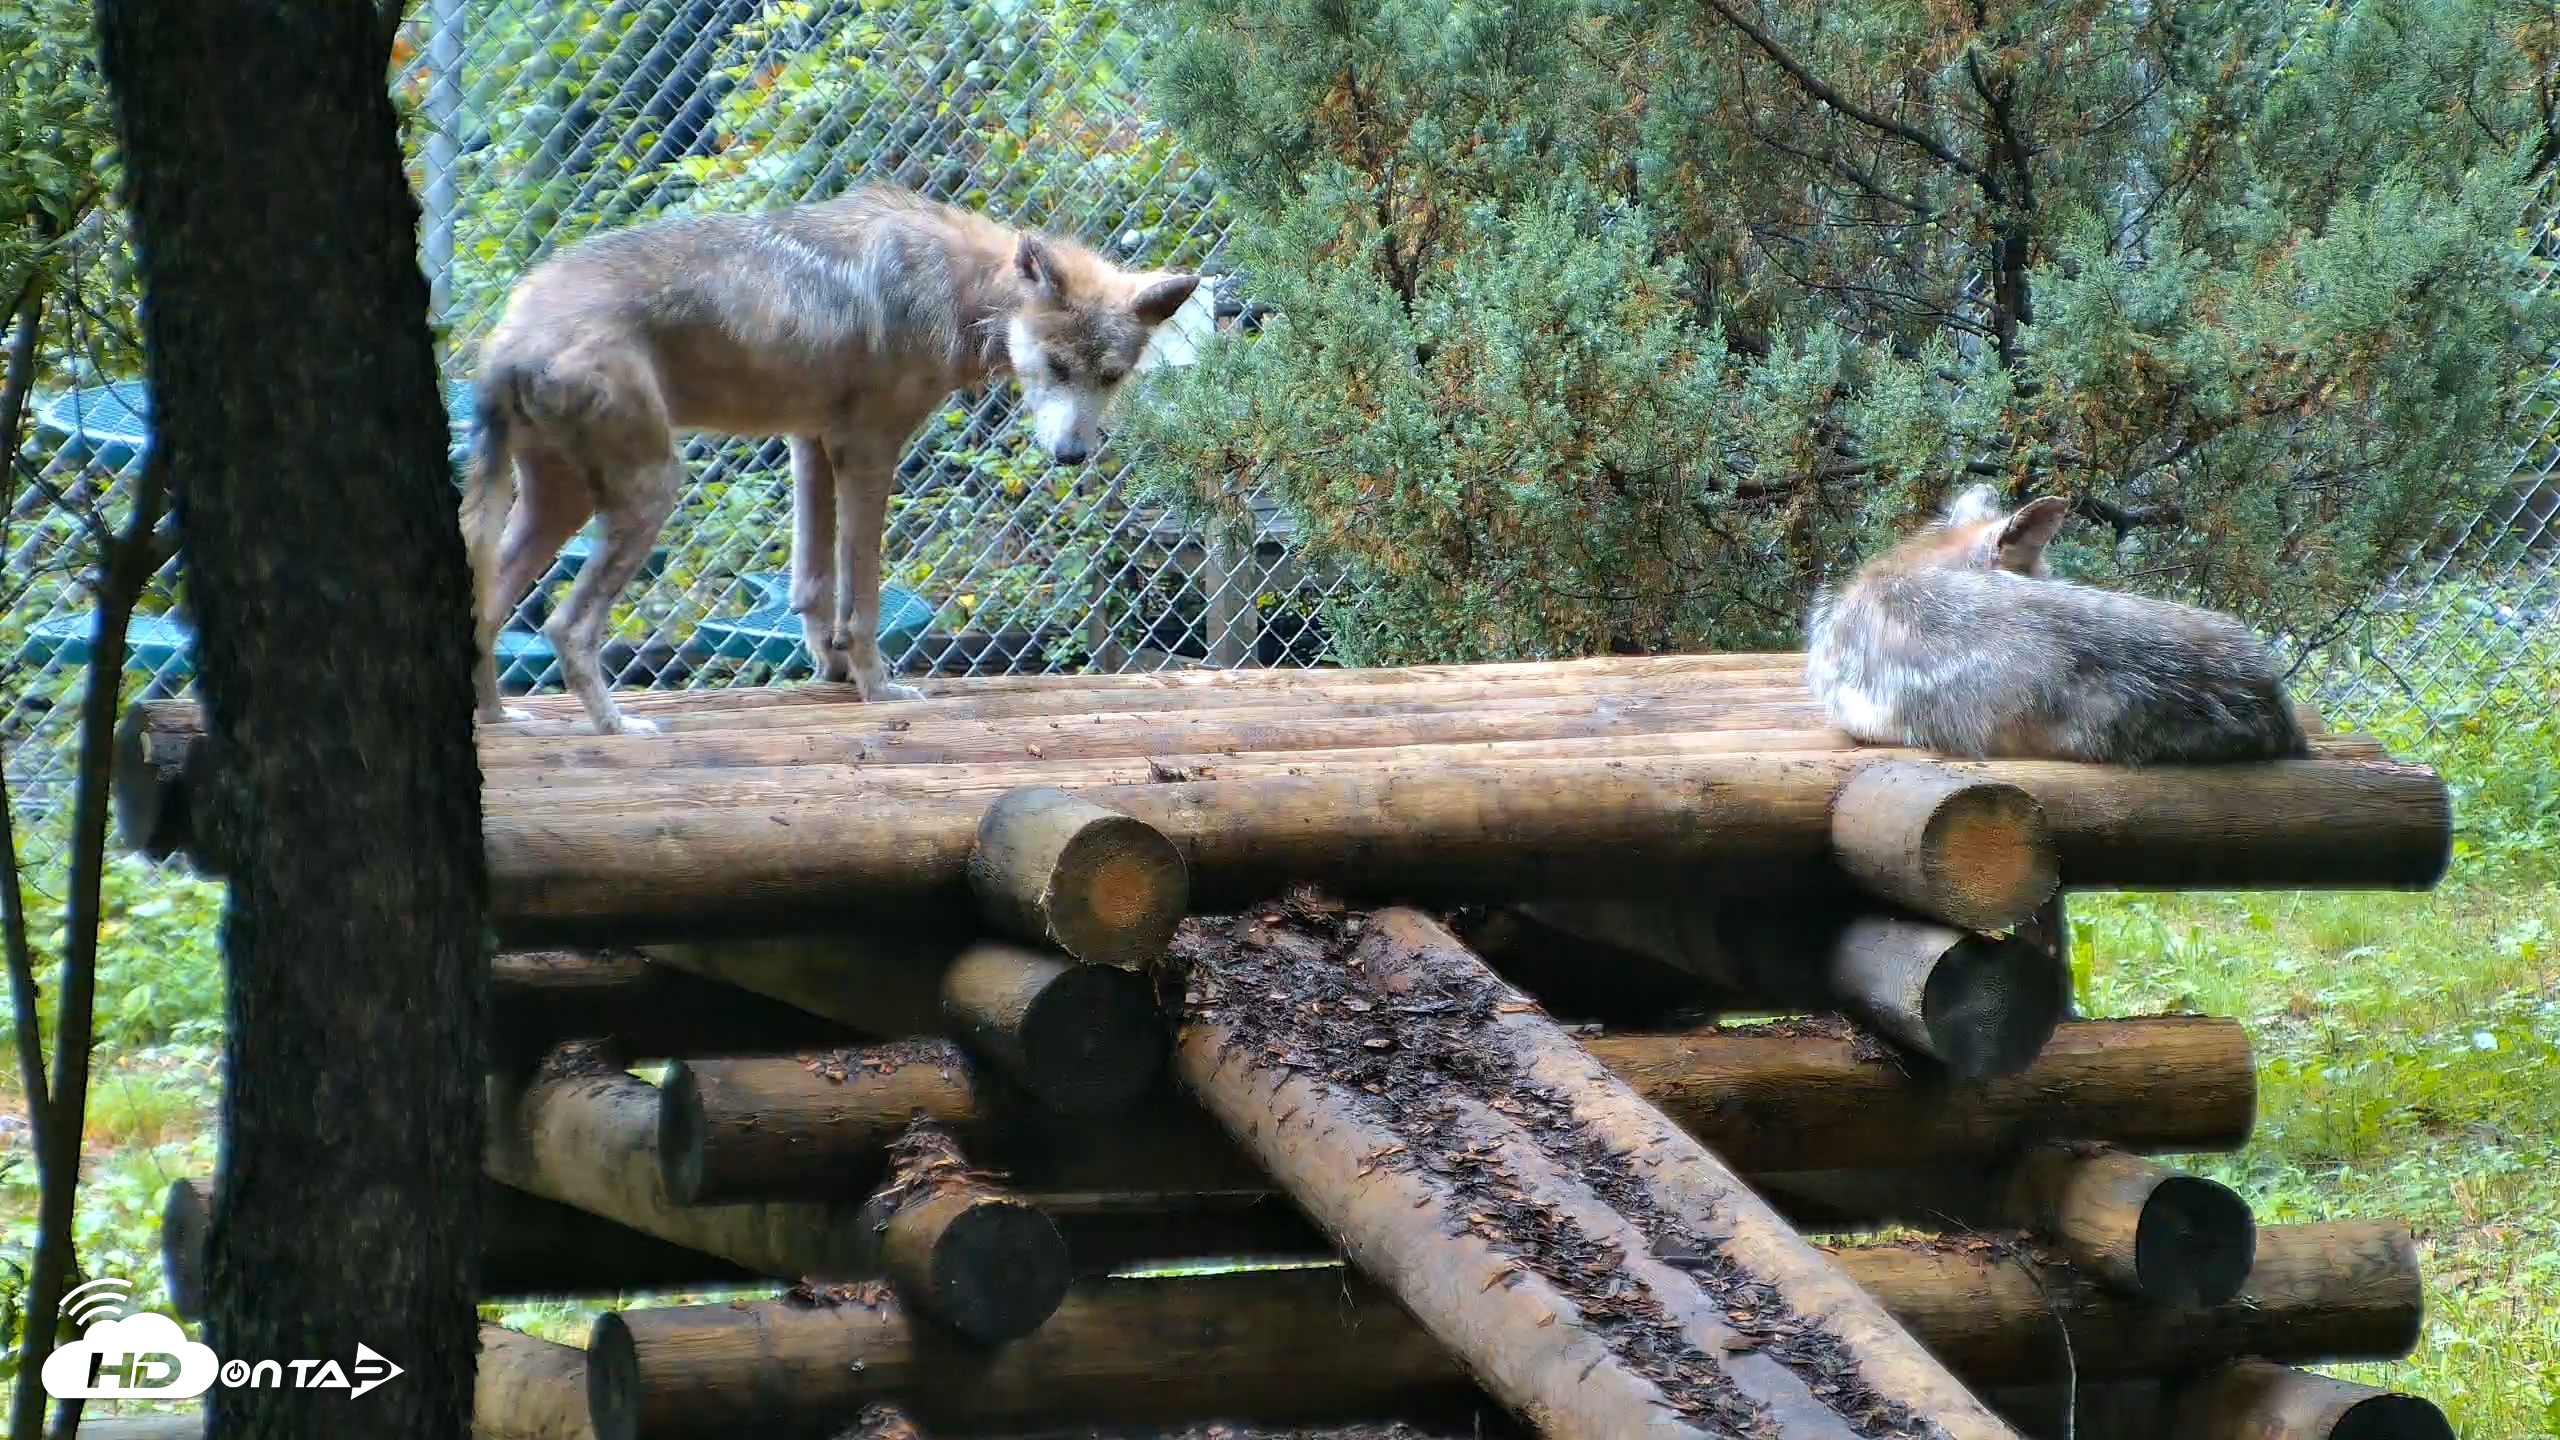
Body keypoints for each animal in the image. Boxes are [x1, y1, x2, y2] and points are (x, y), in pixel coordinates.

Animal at [459, 184, 1201, 735]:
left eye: (1110, 377)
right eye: (1056, 367)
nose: (1073, 455)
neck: (958, 291)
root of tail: (506, 339)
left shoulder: (811, 444)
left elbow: (813, 586)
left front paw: (833, 672)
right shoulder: (868, 451)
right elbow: (862, 595)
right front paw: (878, 688)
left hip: (560, 506)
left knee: (487, 611)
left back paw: (499, 721)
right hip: (649, 493)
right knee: (565, 626)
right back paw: (616, 728)